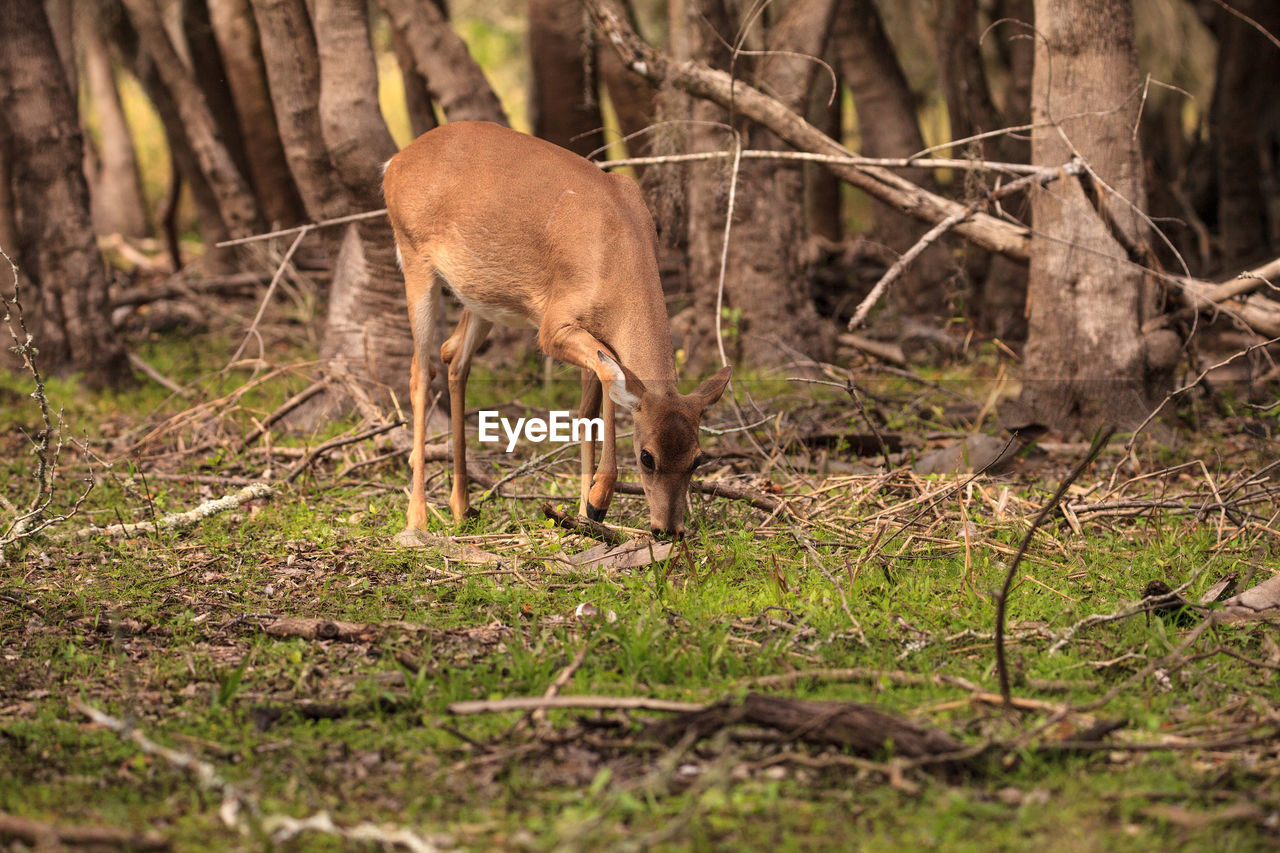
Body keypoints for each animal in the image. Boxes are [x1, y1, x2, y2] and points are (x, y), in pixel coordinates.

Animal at [381, 120, 732, 537]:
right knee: (421, 371)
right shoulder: (554, 326)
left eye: (699, 458)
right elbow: (610, 379)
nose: (669, 529)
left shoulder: (596, 336)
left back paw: (461, 507)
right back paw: (417, 516)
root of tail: (393, 164)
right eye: (647, 457)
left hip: (481, 298)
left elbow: (589, 410)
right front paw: (598, 500)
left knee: (454, 357)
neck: (617, 257)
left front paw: (584, 512)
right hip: (415, 260)